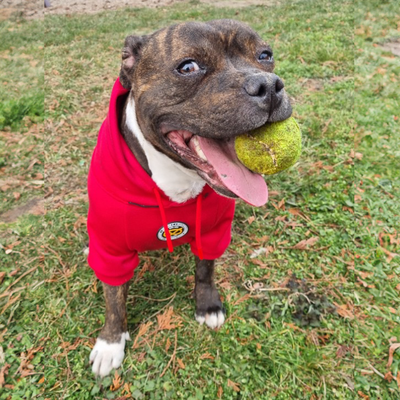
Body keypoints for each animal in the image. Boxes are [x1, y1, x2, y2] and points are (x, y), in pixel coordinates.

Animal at [87, 18, 292, 376]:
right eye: (188, 67)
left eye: (265, 55)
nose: (268, 85)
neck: (176, 182)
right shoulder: (111, 250)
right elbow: (114, 298)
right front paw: (110, 343)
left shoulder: (212, 231)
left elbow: (205, 270)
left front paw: (207, 305)